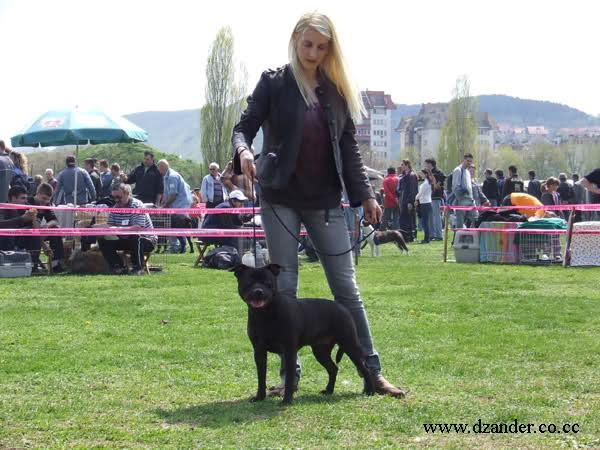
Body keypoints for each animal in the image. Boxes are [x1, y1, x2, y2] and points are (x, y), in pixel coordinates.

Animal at [231, 262, 376, 406]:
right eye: (248, 282)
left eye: (268, 282)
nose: (258, 291)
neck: (265, 314)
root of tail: (343, 308)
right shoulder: (259, 352)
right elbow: (261, 378)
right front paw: (259, 397)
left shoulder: (289, 351)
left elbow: (289, 379)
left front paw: (286, 400)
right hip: (320, 351)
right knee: (333, 368)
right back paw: (329, 390)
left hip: (349, 344)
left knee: (365, 368)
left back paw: (370, 391)